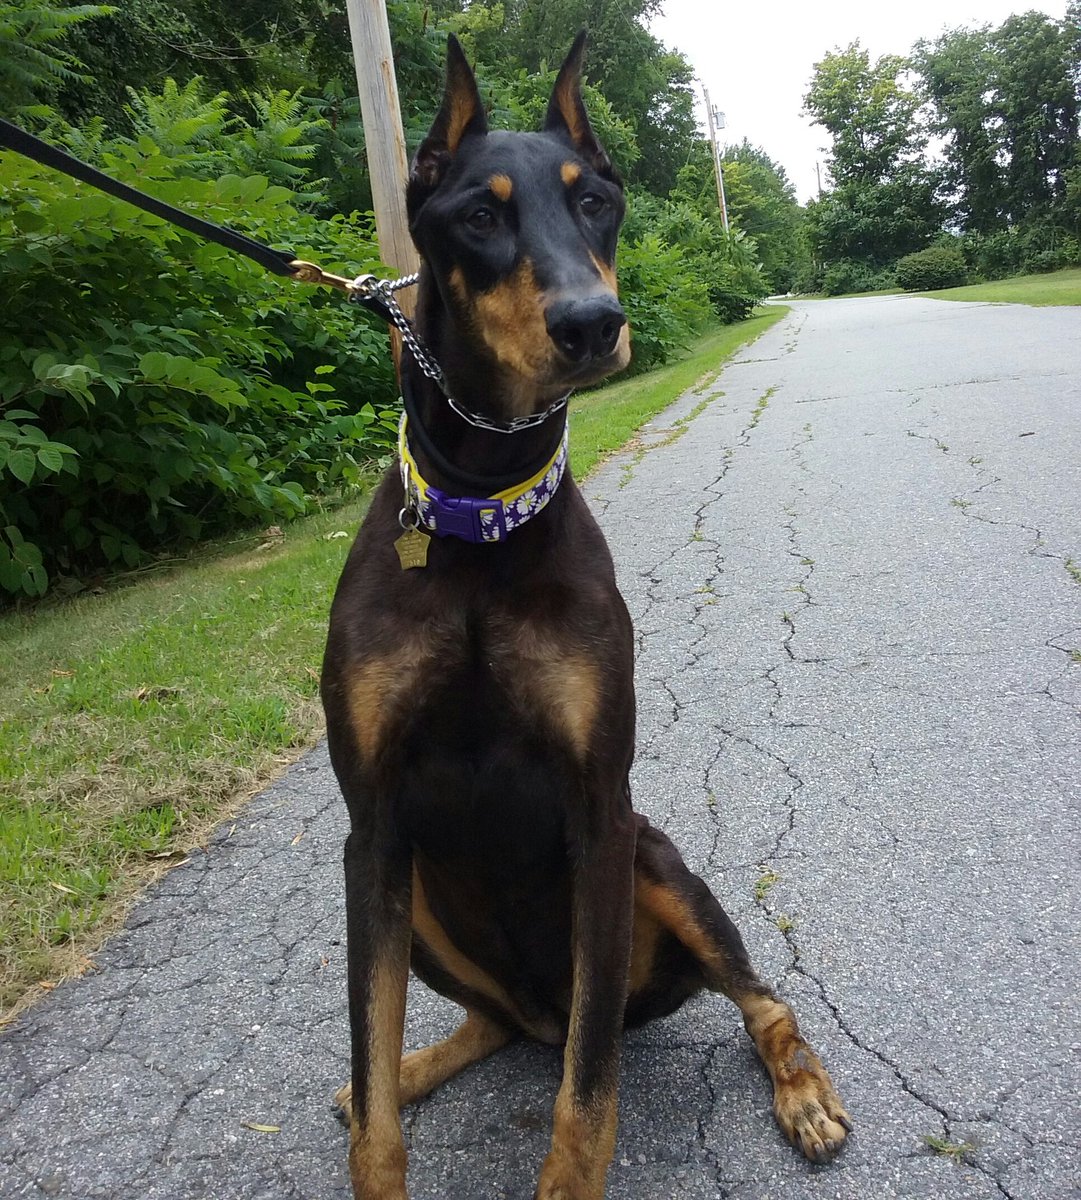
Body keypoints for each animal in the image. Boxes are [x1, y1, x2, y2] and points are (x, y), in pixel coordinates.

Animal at [321, 32, 854, 1195]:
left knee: (751, 1000)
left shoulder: (600, 811)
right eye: (479, 216)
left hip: (659, 868)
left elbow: (590, 1087)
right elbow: (372, 1090)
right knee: (491, 1029)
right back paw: (422, 1063)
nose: (591, 325)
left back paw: (801, 1094)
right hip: (425, 902)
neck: (482, 511)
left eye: (598, 202)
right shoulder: (372, 830)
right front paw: (377, 1107)